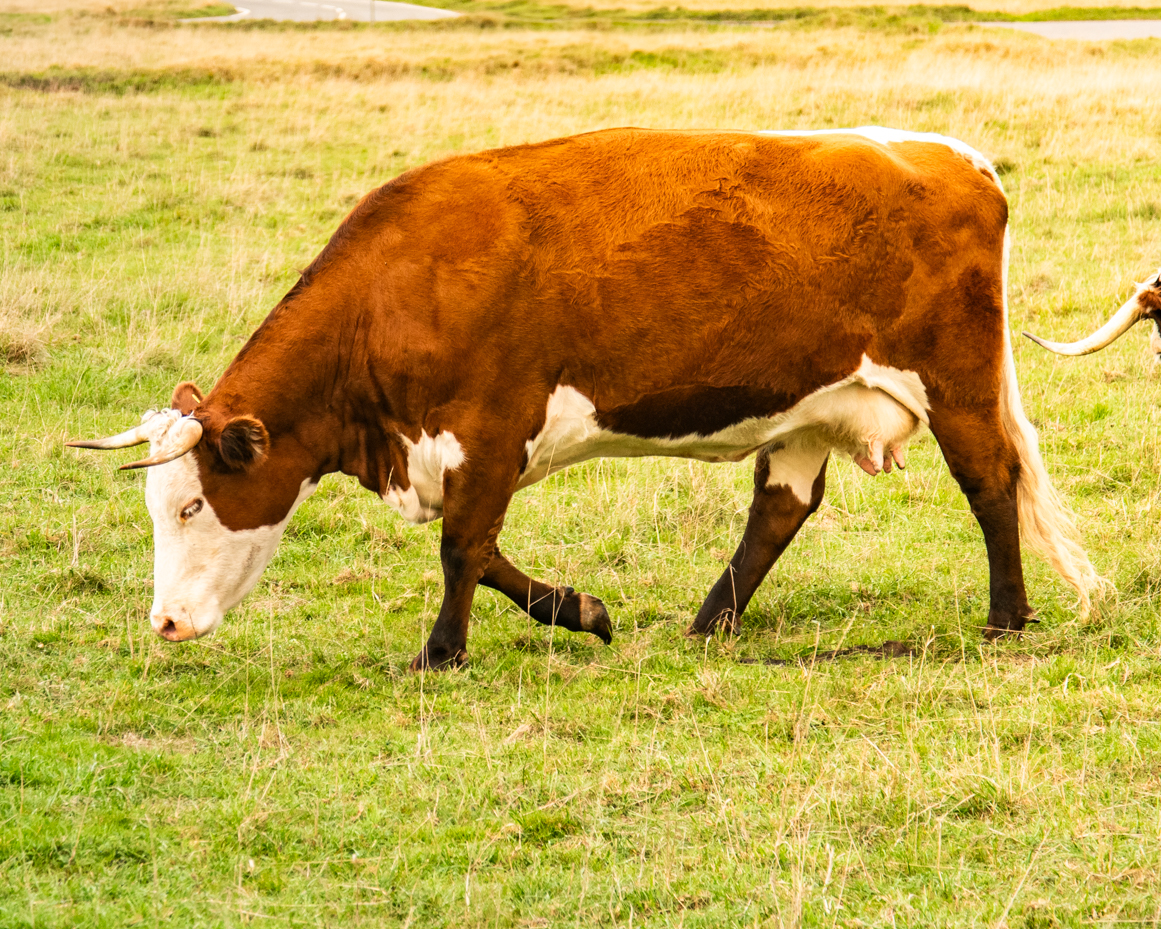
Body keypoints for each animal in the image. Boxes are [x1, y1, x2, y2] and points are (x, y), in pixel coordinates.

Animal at [68, 127, 1107, 670]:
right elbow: (487, 551)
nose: (164, 622)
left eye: (192, 503)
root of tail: (946, 152)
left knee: (990, 482)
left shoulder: (490, 427)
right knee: (780, 508)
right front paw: (584, 610)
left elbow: (463, 547)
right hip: (812, 404)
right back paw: (711, 620)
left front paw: (441, 652)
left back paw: (1005, 616)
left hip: (954, 380)